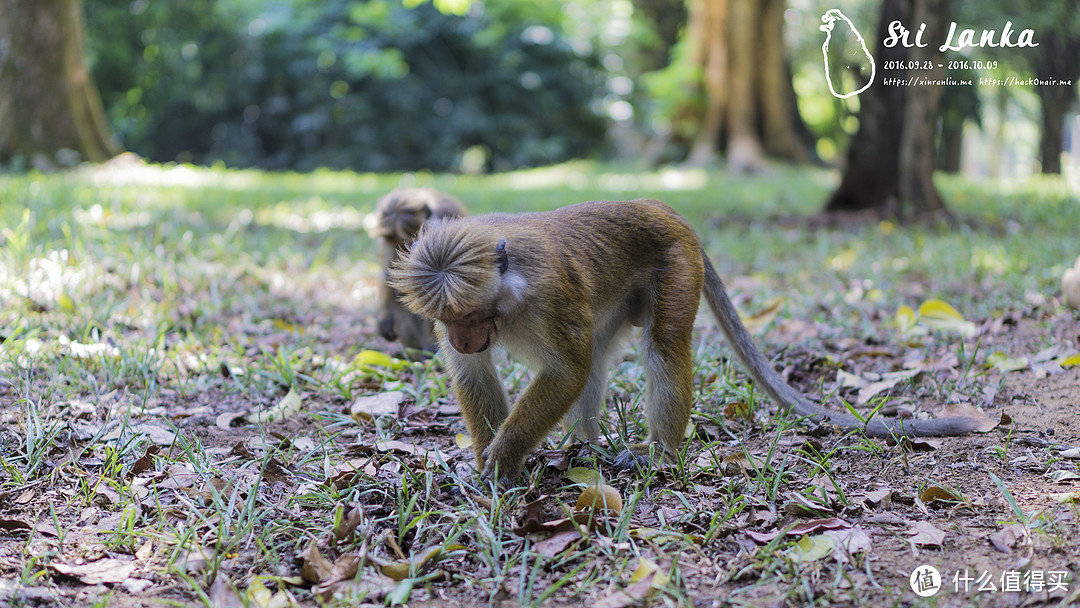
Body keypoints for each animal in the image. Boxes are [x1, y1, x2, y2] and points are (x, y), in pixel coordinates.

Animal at [388, 199, 980, 485]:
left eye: (472, 315)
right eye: (448, 320)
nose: (462, 338)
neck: (508, 292)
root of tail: (663, 209)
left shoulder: (550, 294)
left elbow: (566, 371)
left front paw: (501, 462)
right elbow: (476, 374)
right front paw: (486, 463)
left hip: (676, 262)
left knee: (663, 348)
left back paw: (661, 457)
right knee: (600, 357)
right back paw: (585, 447)